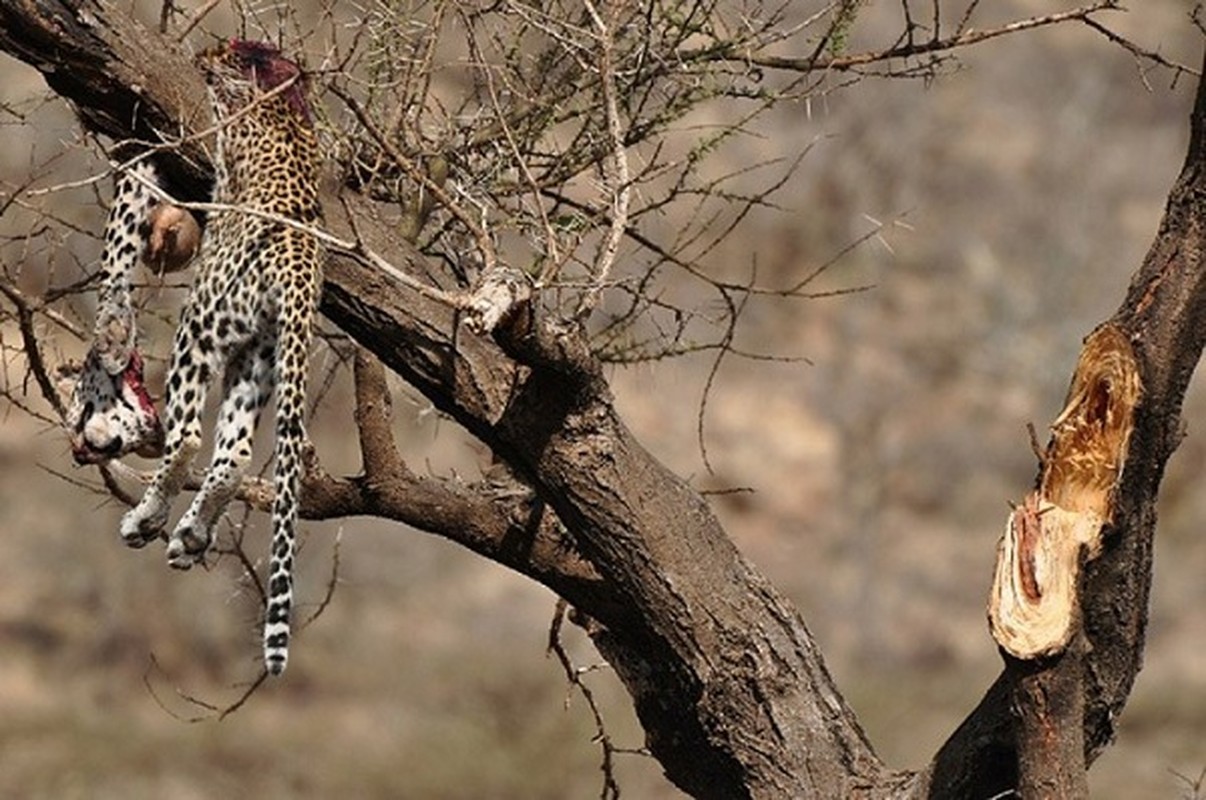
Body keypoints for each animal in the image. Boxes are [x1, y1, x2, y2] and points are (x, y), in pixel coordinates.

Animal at [120, 39, 325, 675]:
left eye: (225, 51)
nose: (200, 52)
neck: (288, 98)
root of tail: (300, 271)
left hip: (201, 327)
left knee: (187, 438)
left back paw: (148, 516)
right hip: (257, 358)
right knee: (231, 454)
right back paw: (188, 534)